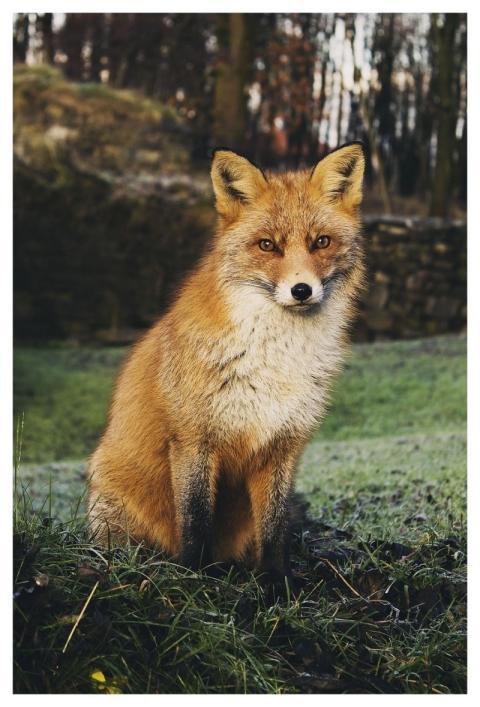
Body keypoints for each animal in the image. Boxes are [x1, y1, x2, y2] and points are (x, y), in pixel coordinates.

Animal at [87, 142, 366, 580]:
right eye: (267, 245)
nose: (301, 290)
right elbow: (196, 521)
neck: (275, 360)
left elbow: (274, 530)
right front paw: (196, 578)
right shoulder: (193, 440)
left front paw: (276, 583)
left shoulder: (282, 446)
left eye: (321, 242)